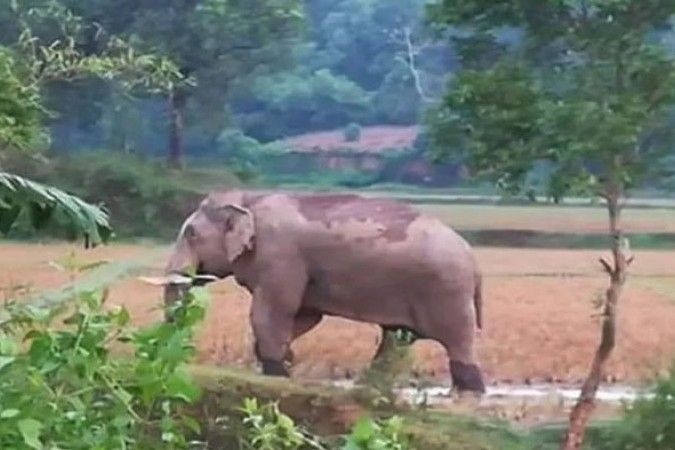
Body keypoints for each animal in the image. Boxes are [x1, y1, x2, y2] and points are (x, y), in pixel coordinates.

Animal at [161, 188, 488, 392]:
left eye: (191, 234)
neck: (249, 198)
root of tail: (474, 261)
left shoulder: (280, 254)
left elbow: (273, 311)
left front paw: (277, 371)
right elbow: (306, 315)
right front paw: (285, 361)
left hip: (446, 291)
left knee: (458, 343)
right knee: (395, 339)